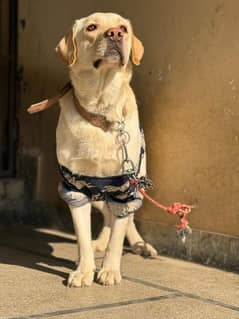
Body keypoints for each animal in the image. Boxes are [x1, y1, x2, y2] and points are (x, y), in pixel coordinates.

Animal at [45, 12, 157, 288]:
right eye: (91, 27)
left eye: (123, 27)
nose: (115, 34)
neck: (102, 111)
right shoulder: (74, 187)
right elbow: (83, 238)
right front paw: (84, 270)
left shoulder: (126, 187)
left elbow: (119, 233)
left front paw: (109, 270)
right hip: (98, 195)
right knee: (107, 215)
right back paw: (100, 243)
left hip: (136, 183)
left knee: (125, 218)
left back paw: (140, 245)